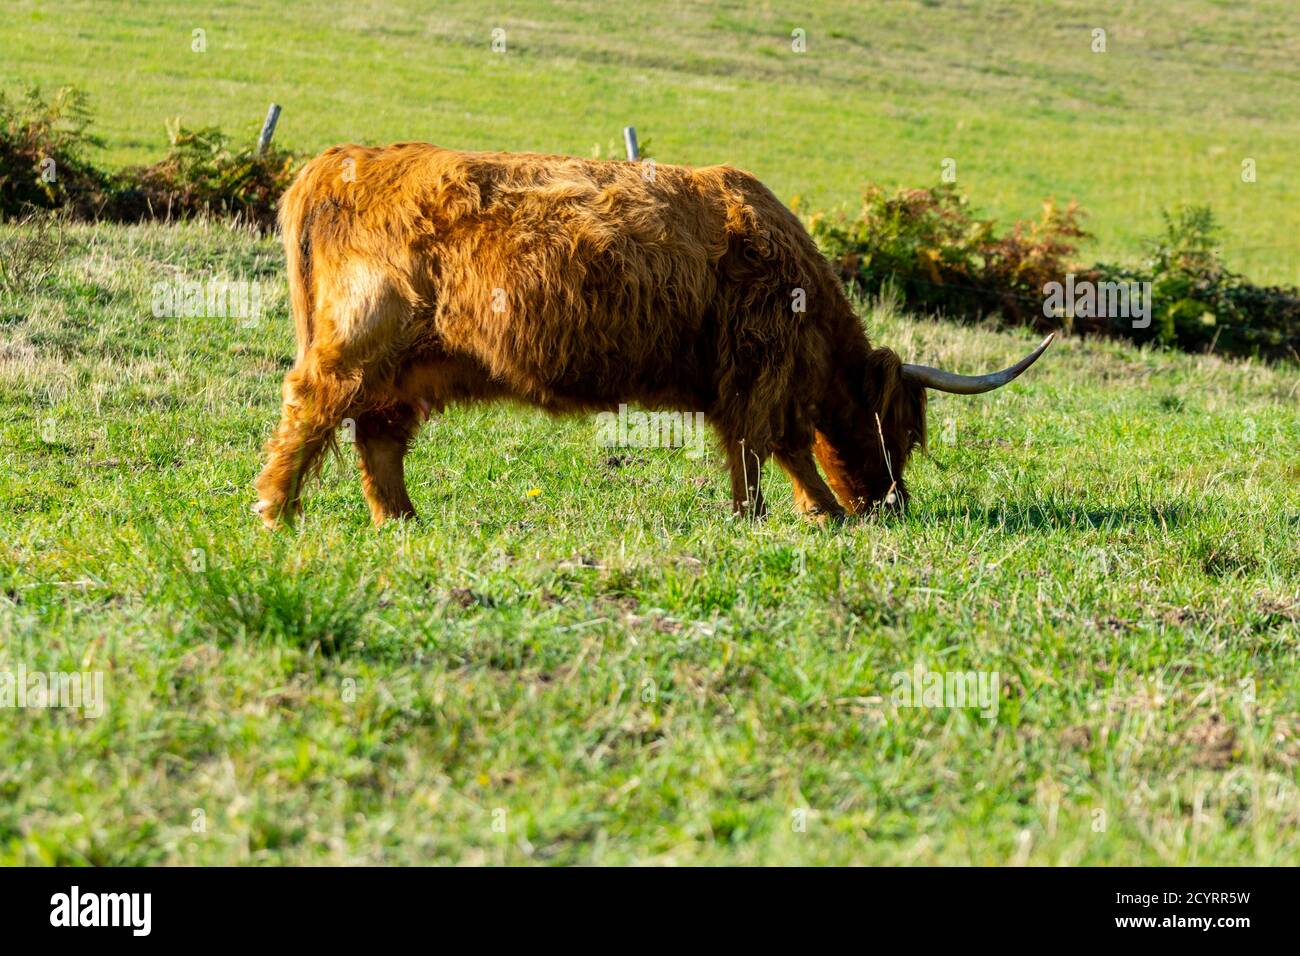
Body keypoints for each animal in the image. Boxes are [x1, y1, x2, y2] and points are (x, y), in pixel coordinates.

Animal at [254, 143, 1052, 528]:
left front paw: (772, 512)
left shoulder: (741, 376)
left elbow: (755, 446)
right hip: (362, 337)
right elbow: (776, 442)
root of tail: (341, 159)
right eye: (901, 431)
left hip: (416, 361)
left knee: (377, 434)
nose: (889, 503)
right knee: (312, 404)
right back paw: (275, 514)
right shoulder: (762, 365)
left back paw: (402, 520)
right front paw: (809, 512)